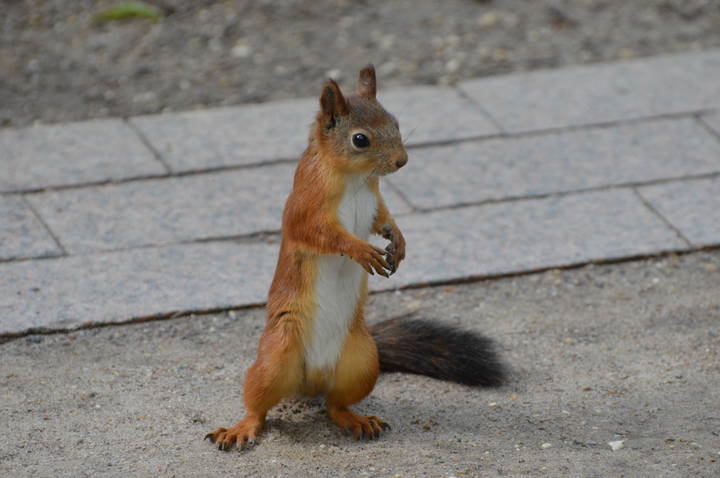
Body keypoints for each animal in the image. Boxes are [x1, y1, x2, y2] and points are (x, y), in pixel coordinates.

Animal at [205, 65, 505, 451]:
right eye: (360, 140)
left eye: (395, 121)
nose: (402, 161)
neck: (356, 180)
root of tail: (310, 383)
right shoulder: (305, 207)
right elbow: (325, 235)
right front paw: (361, 250)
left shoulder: (375, 201)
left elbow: (384, 219)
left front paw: (399, 241)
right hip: (275, 357)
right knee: (258, 406)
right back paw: (241, 428)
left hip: (362, 362)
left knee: (335, 405)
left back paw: (357, 420)